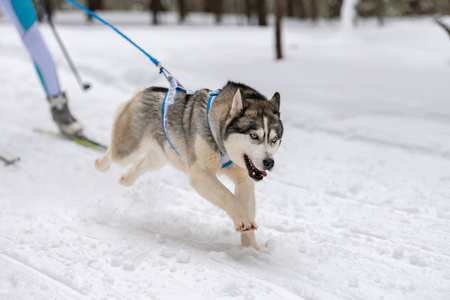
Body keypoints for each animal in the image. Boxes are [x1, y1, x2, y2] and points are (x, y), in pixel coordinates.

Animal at [95, 81, 284, 248]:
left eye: (274, 139)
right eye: (254, 136)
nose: (269, 162)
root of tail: (146, 90)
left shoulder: (244, 179)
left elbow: (246, 205)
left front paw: (251, 248)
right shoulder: (200, 174)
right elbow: (227, 196)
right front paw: (243, 221)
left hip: (158, 158)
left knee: (139, 166)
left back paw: (126, 179)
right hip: (127, 150)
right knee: (112, 154)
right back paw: (100, 165)